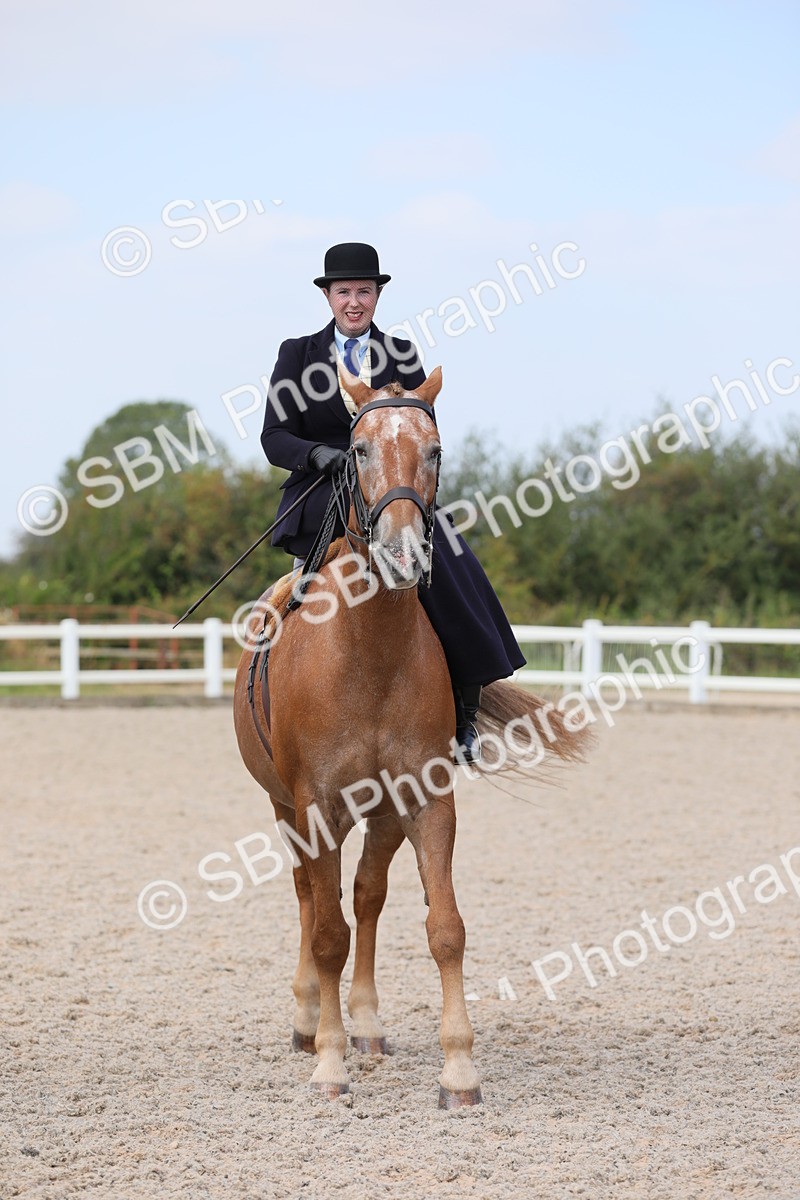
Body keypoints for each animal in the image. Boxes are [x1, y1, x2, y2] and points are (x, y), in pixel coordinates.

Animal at [233, 366, 587, 1107]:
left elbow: (443, 928)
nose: (401, 552)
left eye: (435, 450)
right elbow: (328, 933)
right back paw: (310, 1019)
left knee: (367, 896)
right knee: (310, 899)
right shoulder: (314, 807)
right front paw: (329, 1063)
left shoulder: (425, 800)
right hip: (286, 808)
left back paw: (366, 1025)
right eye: (359, 449)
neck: (369, 650)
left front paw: (459, 1069)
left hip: (383, 813)